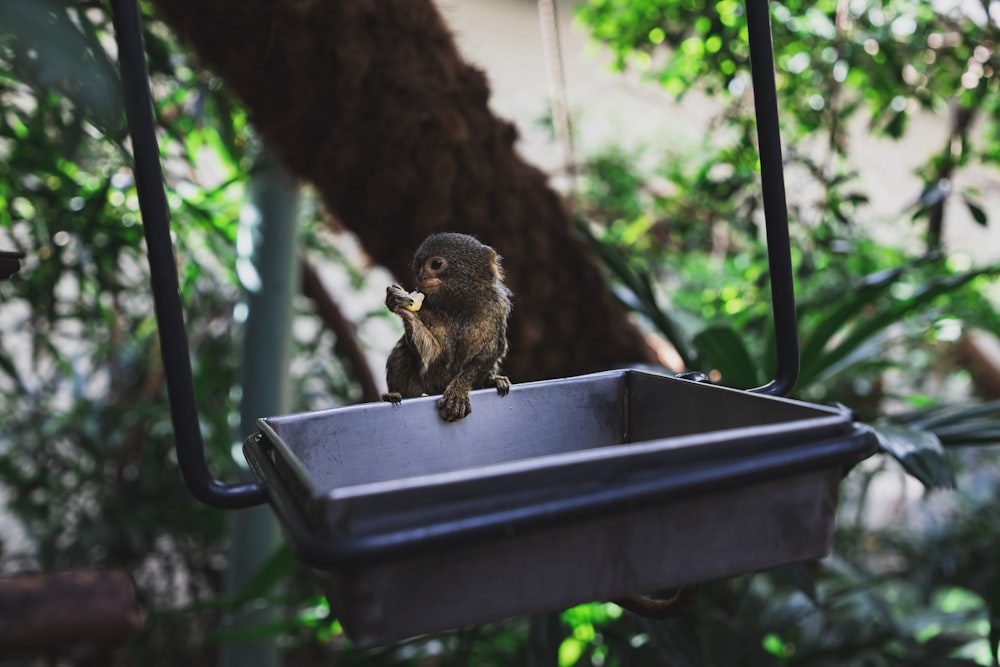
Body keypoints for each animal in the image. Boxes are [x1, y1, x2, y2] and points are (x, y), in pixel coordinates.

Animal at [380, 235, 512, 420]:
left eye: (436, 264)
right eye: (418, 268)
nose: (421, 277)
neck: (459, 305)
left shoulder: (497, 309)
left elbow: (489, 354)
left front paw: (458, 392)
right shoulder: (427, 312)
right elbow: (434, 353)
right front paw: (402, 306)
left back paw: (493, 380)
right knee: (402, 351)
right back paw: (393, 394)